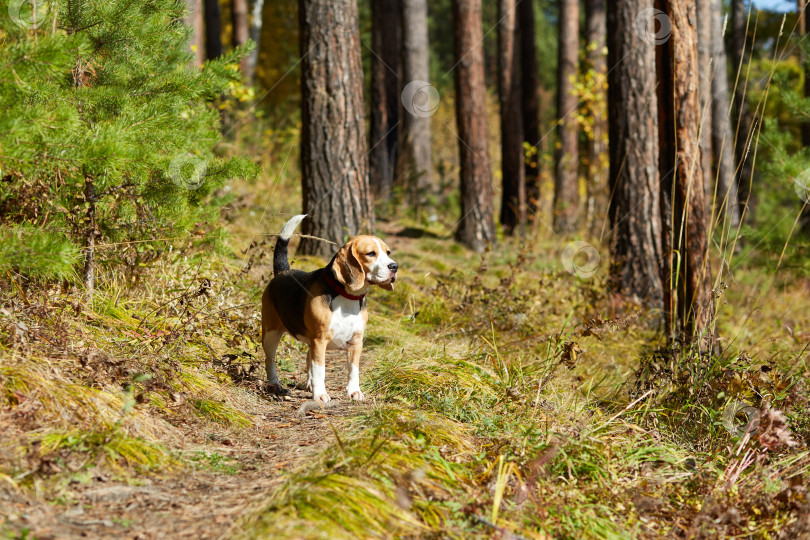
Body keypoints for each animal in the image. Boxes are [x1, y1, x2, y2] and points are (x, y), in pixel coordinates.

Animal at [260, 213, 396, 402]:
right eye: (371, 253)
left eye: (388, 253)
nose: (394, 266)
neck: (347, 296)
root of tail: (282, 271)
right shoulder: (320, 340)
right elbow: (320, 369)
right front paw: (320, 395)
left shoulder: (356, 341)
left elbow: (353, 369)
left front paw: (354, 391)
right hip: (271, 333)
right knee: (270, 360)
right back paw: (276, 385)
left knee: (308, 357)